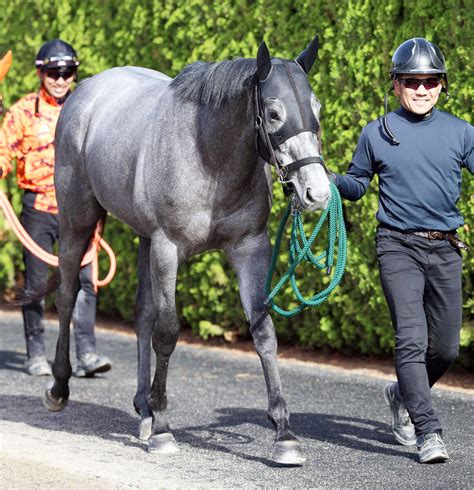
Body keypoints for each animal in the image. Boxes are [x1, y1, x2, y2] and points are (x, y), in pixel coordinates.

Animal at [47, 36, 330, 466]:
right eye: (274, 112)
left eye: (317, 108)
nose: (317, 192)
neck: (208, 156)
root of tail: (84, 93)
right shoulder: (167, 249)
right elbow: (167, 333)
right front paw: (164, 430)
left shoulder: (250, 247)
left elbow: (263, 332)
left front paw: (284, 434)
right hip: (78, 221)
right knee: (66, 296)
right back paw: (61, 389)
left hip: (143, 238)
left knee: (142, 315)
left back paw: (143, 409)